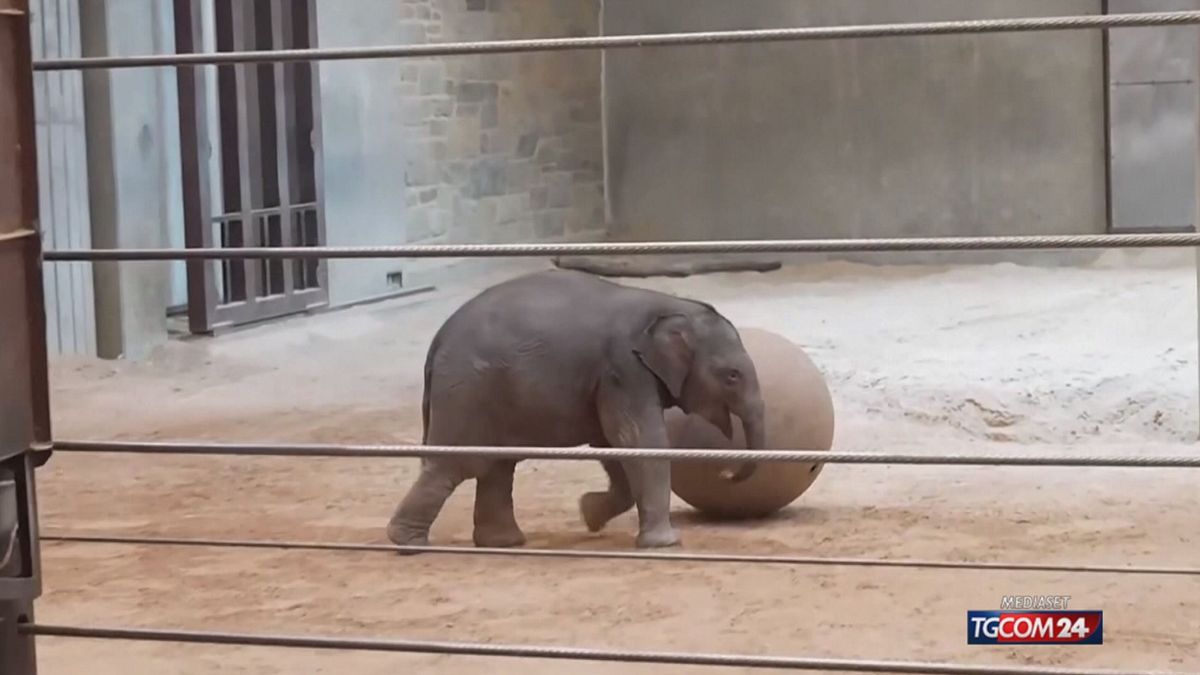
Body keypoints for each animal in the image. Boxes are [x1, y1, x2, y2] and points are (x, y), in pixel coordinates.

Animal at [386, 268, 766, 549]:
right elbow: (637, 438)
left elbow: (612, 445)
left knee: (497, 466)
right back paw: (409, 543)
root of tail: (437, 343)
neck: (667, 305)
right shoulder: (623, 368)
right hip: (467, 389)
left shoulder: (608, 379)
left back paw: (503, 543)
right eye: (732, 376)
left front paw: (589, 514)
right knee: (456, 465)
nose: (726, 473)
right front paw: (666, 544)